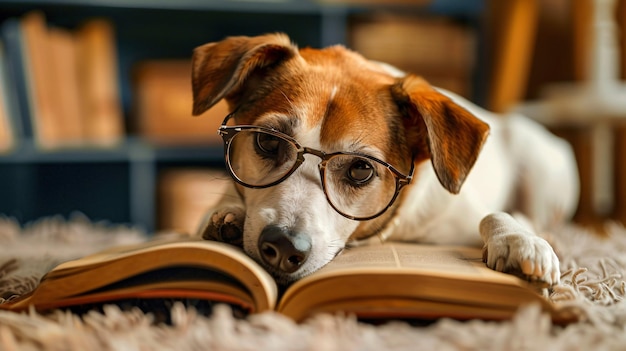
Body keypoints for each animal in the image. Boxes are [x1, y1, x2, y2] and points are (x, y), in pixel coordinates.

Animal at [189, 33, 576, 286]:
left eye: (361, 169)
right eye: (268, 141)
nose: (284, 247)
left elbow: (493, 214)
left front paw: (517, 241)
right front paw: (228, 217)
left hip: (542, 163)